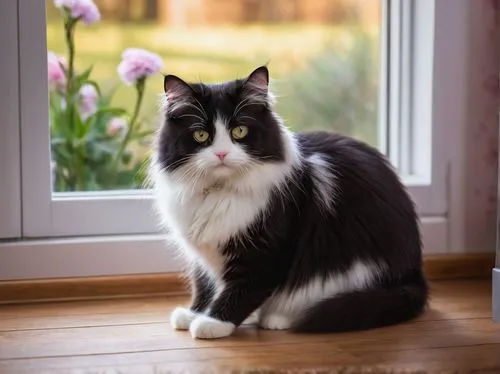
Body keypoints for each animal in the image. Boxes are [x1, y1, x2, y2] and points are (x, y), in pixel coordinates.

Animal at [150, 64, 428, 338]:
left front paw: (212, 322)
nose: (221, 154)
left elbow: (242, 290)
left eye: (239, 131)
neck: (218, 192)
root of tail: (414, 273)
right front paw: (193, 313)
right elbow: (205, 284)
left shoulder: (267, 250)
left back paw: (277, 319)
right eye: (200, 135)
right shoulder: (205, 254)